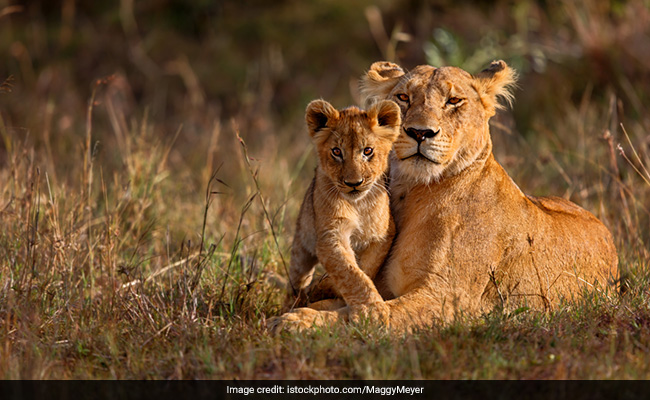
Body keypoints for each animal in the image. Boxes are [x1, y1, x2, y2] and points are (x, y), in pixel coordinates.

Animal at [273, 99, 401, 329]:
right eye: (336, 152)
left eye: (367, 151)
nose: (353, 183)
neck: (358, 204)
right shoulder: (330, 235)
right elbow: (349, 272)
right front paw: (372, 311)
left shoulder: (383, 235)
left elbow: (364, 269)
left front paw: (334, 290)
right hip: (301, 249)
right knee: (296, 282)